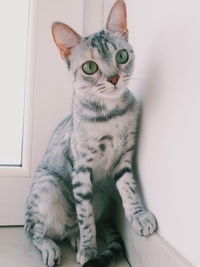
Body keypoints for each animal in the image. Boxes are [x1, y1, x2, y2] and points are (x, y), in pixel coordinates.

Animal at [24, 0, 157, 266]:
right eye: (90, 67)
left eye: (122, 56)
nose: (114, 78)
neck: (111, 115)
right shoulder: (81, 169)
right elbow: (84, 216)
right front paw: (89, 247)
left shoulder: (124, 159)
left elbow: (129, 190)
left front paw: (138, 216)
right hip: (47, 186)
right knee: (36, 231)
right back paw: (52, 247)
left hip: (101, 196)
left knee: (71, 228)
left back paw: (74, 238)